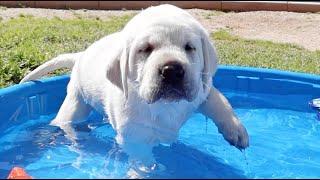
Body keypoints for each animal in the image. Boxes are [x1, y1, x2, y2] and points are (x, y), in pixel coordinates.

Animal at [21, 4, 249, 166]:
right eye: (145, 49)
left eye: (189, 47)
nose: (172, 70)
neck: (164, 105)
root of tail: (81, 55)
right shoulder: (134, 136)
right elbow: (143, 160)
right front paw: (148, 170)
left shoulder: (200, 88)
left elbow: (220, 101)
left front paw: (236, 131)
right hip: (75, 102)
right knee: (67, 120)